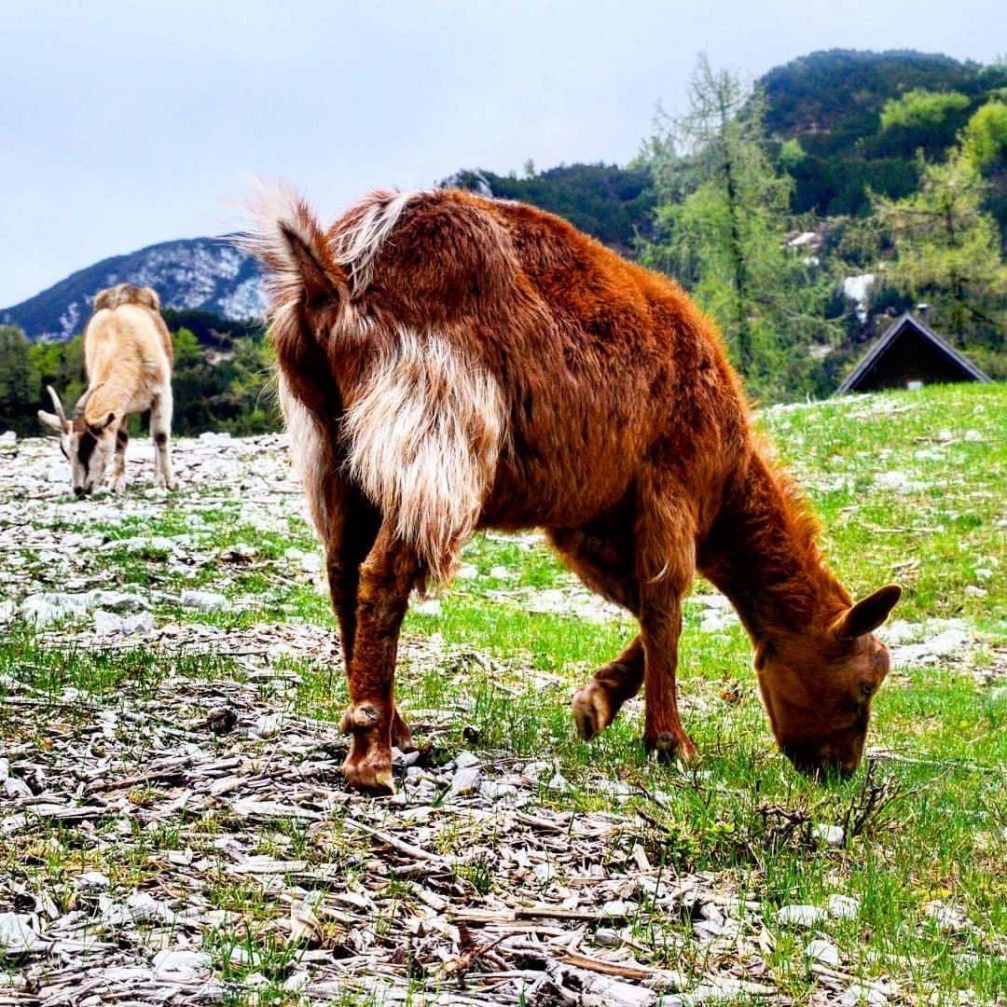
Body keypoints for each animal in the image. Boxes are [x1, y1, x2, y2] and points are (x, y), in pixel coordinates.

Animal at [245, 185, 906, 789]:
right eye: (863, 686)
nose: (837, 772)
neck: (727, 478)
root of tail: (335, 274)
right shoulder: (671, 485)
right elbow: (666, 605)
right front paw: (671, 742)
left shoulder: (589, 521)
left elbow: (643, 604)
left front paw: (597, 704)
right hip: (437, 432)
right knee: (384, 572)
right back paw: (371, 756)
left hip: (333, 445)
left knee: (341, 570)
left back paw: (394, 727)